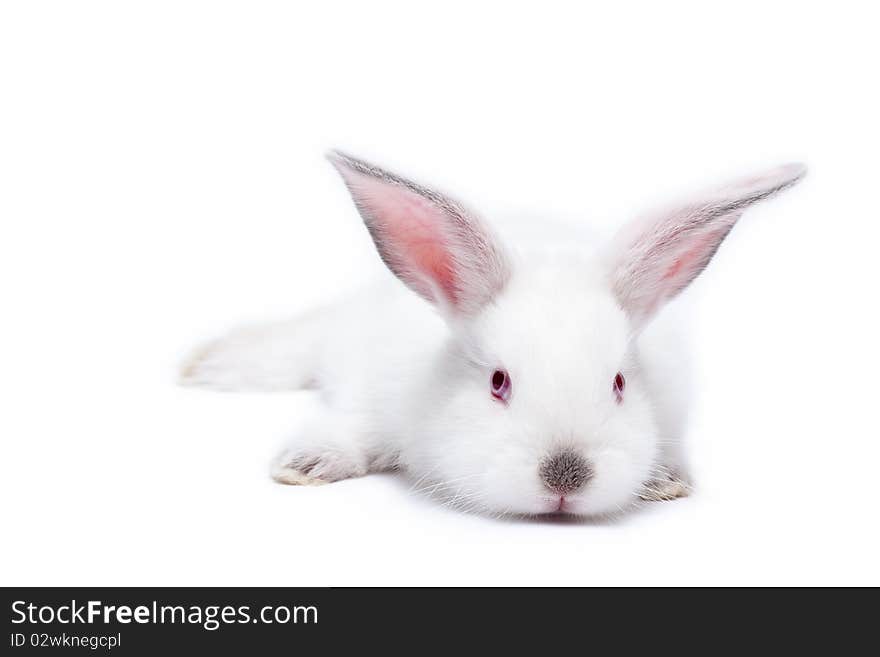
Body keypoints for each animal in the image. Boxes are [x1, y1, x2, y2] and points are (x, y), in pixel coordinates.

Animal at [182, 151, 808, 516]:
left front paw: (665, 481)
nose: (565, 476)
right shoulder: (370, 398)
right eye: (498, 382)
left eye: (620, 384)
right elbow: (348, 431)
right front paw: (304, 466)